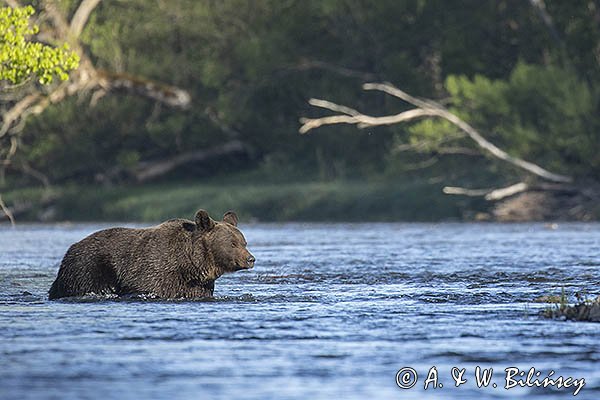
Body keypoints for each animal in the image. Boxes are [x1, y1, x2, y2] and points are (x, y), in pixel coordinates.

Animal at [47, 209, 253, 300]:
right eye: (232, 243)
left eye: (244, 242)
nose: (250, 259)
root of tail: (70, 249)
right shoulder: (154, 272)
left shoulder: (197, 286)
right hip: (90, 267)